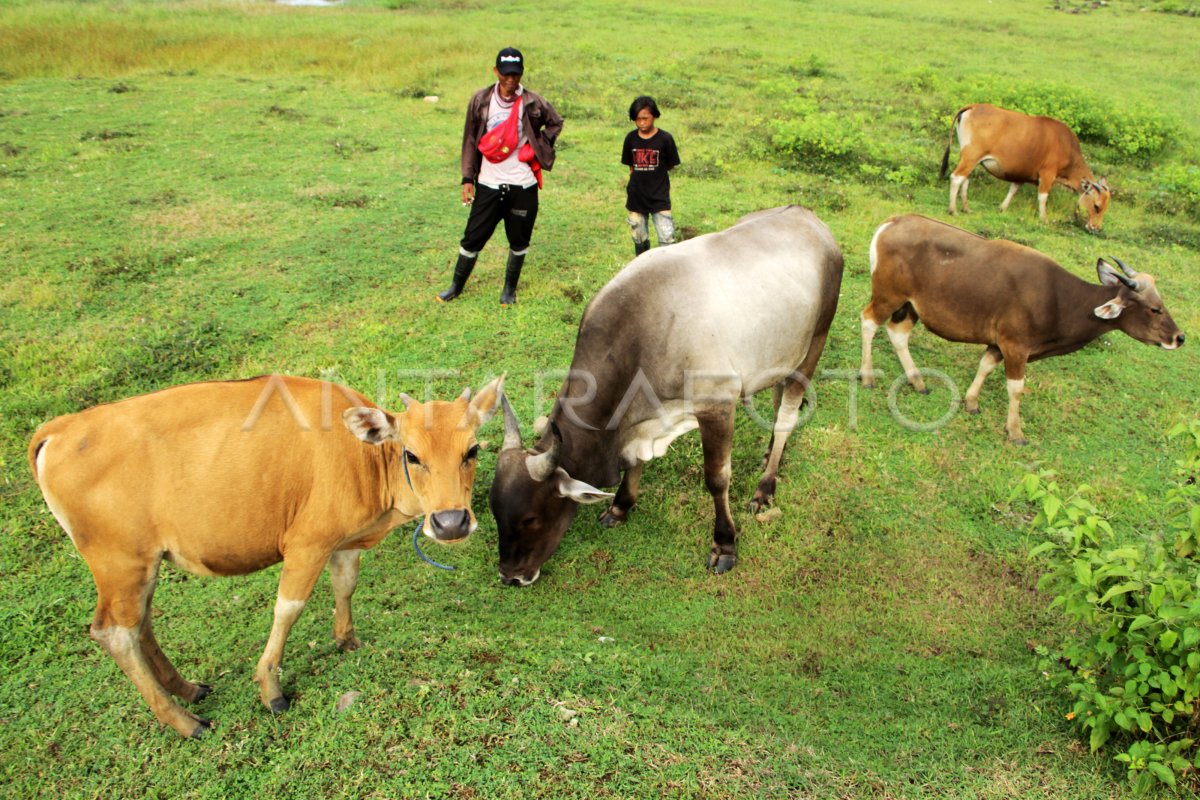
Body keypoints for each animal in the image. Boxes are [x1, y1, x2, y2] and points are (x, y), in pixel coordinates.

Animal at [27, 376, 506, 738]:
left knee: (141, 622)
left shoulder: (344, 541)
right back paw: (183, 720)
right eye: (412, 454)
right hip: (120, 562)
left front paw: (346, 640)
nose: (450, 522)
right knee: (115, 633)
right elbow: (288, 609)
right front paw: (271, 689)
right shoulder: (306, 544)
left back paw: (186, 689)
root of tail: (61, 428)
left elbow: (345, 584)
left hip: (143, 565)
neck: (362, 457)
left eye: (472, 450)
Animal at [487, 203, 844, 585]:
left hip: (814, 346)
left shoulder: (717, 405)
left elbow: (717, 478)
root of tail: (808, 216)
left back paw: (766, 485)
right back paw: (770, 455)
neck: (639, 335)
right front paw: (620, 506)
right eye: (494, 512)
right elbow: (635, 462)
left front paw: (725, 544)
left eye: (530, 519)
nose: (510, 577)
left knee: (787, 415)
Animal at [859, 215, 1185, 448]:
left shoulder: (999, 343)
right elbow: (1016, 388)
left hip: (911, 306)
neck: (1060, 300)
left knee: (897, 333)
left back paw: (918, 381)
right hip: (888, 296)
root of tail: (892, 222)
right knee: (868, 321)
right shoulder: (1016, 346)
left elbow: (985, 365)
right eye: (1155, 309)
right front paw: (1015, 431)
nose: (1179, 337)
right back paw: (867, 376)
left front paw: (971, 403)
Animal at [936, 103, 1113, 231]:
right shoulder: (1047, 174)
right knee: (956, 177)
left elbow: (1013, 190)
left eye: (1105, 208)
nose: (1096, 228)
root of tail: (973, 106)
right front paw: (1043, 219)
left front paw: (1002, 208)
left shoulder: (1022, 174)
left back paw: (966, 208)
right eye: (1096, 206)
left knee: (965, 179)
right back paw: (953, 209)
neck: (1067, 148)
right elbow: (1043, 197)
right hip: (971, 156)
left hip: (971, 159)